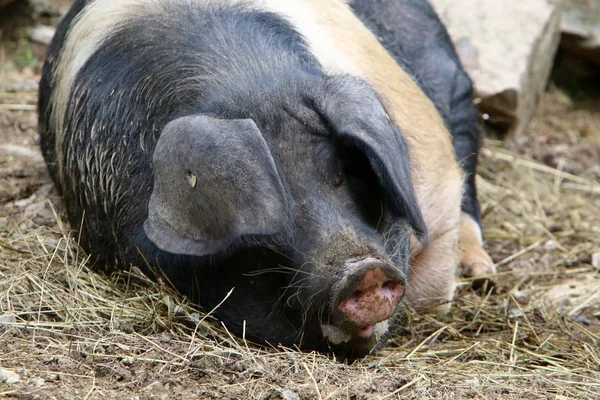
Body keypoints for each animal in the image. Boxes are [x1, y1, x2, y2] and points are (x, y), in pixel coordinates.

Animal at [38, 0, 496, 360]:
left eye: (344, 173)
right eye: (270, 207)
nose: (364, 271)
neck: (253, 85)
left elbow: (432, 290)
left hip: (456, 92)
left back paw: (482, 273)